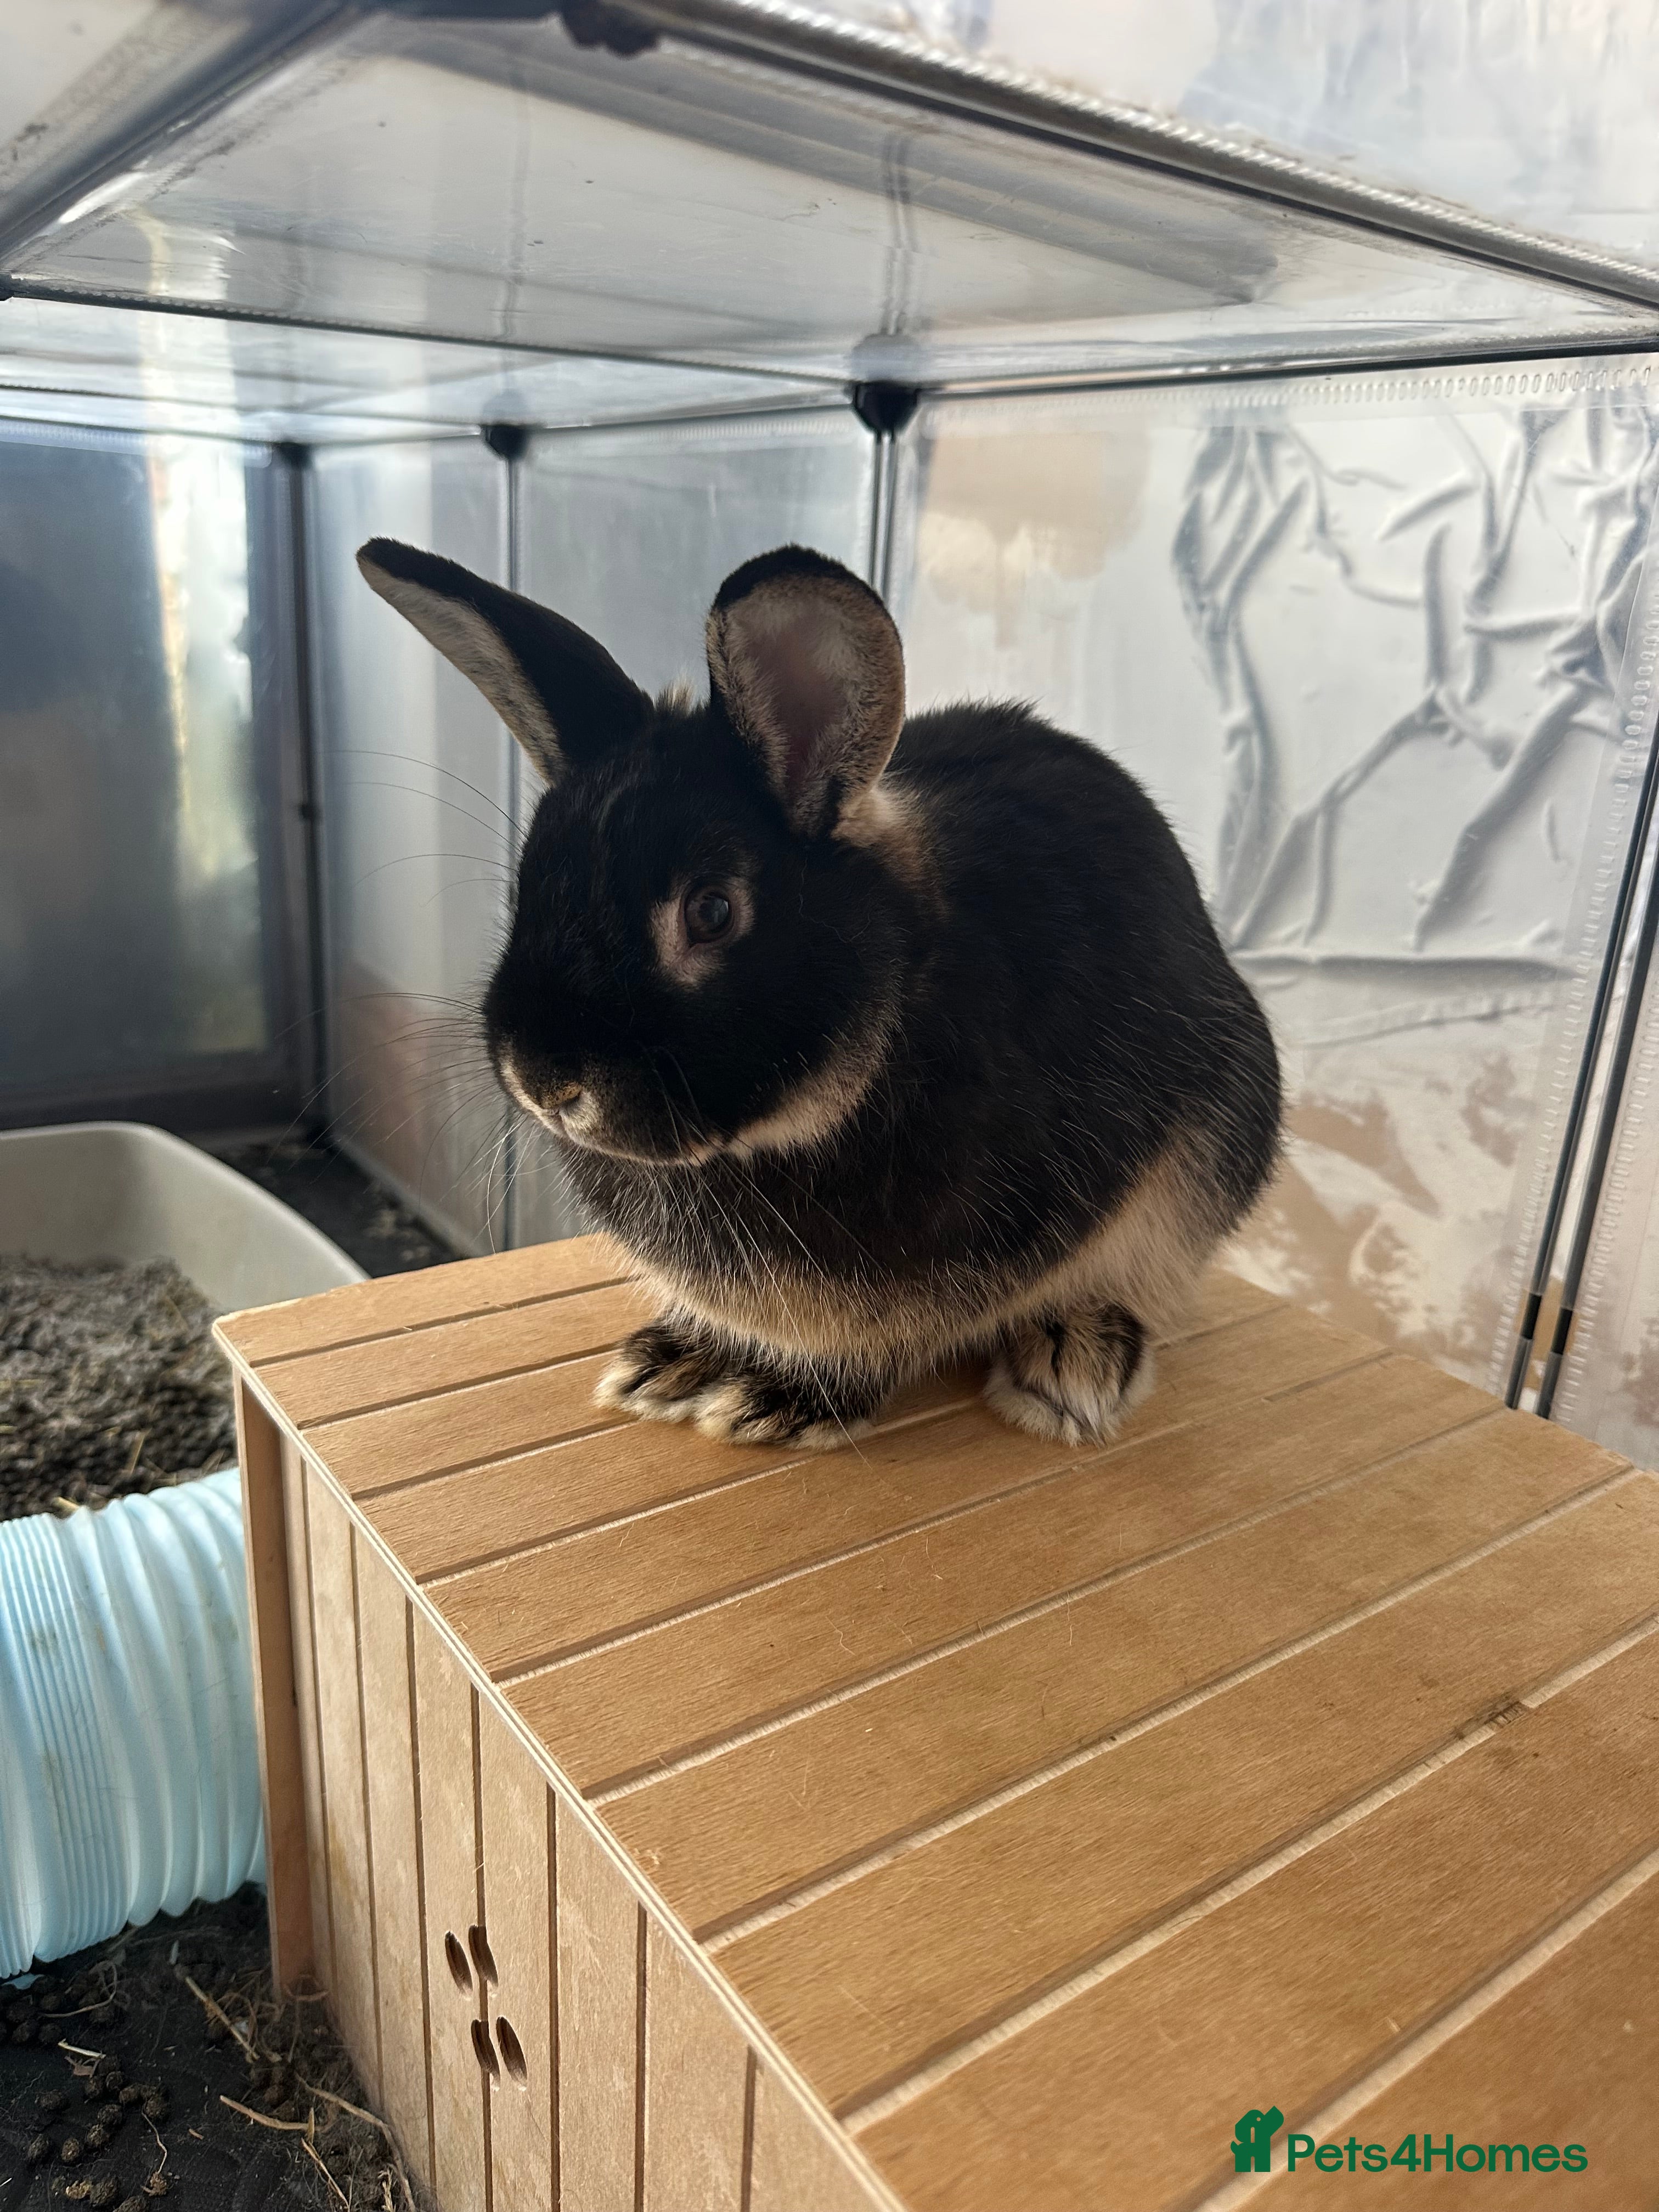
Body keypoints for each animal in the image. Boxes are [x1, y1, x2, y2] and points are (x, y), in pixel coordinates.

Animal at [357, 537, 1281, 1451]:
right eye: (527, 887)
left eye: (712, 912)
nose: (543, 1080)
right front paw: (678, 1362)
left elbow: (875, 1348)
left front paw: (775, 1400)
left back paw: (1072, 1363)